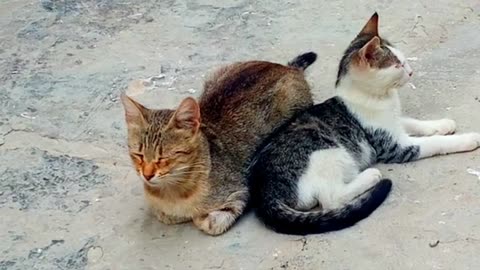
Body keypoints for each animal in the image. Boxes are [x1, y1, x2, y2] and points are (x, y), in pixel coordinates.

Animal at [120, 52, 316, 234]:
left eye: (164, 157)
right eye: (138, 155)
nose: (147, 175)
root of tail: (287, 68)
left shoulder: (242, 192)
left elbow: (210, 223)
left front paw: (198, 217)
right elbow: (164, 214)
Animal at [248, 13, 480, 234]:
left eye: (404, 60)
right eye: (398, 65)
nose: (411, 71)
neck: (381, 98)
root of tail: (263, 192)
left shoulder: (394, 123)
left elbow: (413, 122)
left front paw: (443, 124)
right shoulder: (394, 146)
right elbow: (434, 143)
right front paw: (467, 139)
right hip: (327, 151)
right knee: (331, 198)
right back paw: (370, 176)